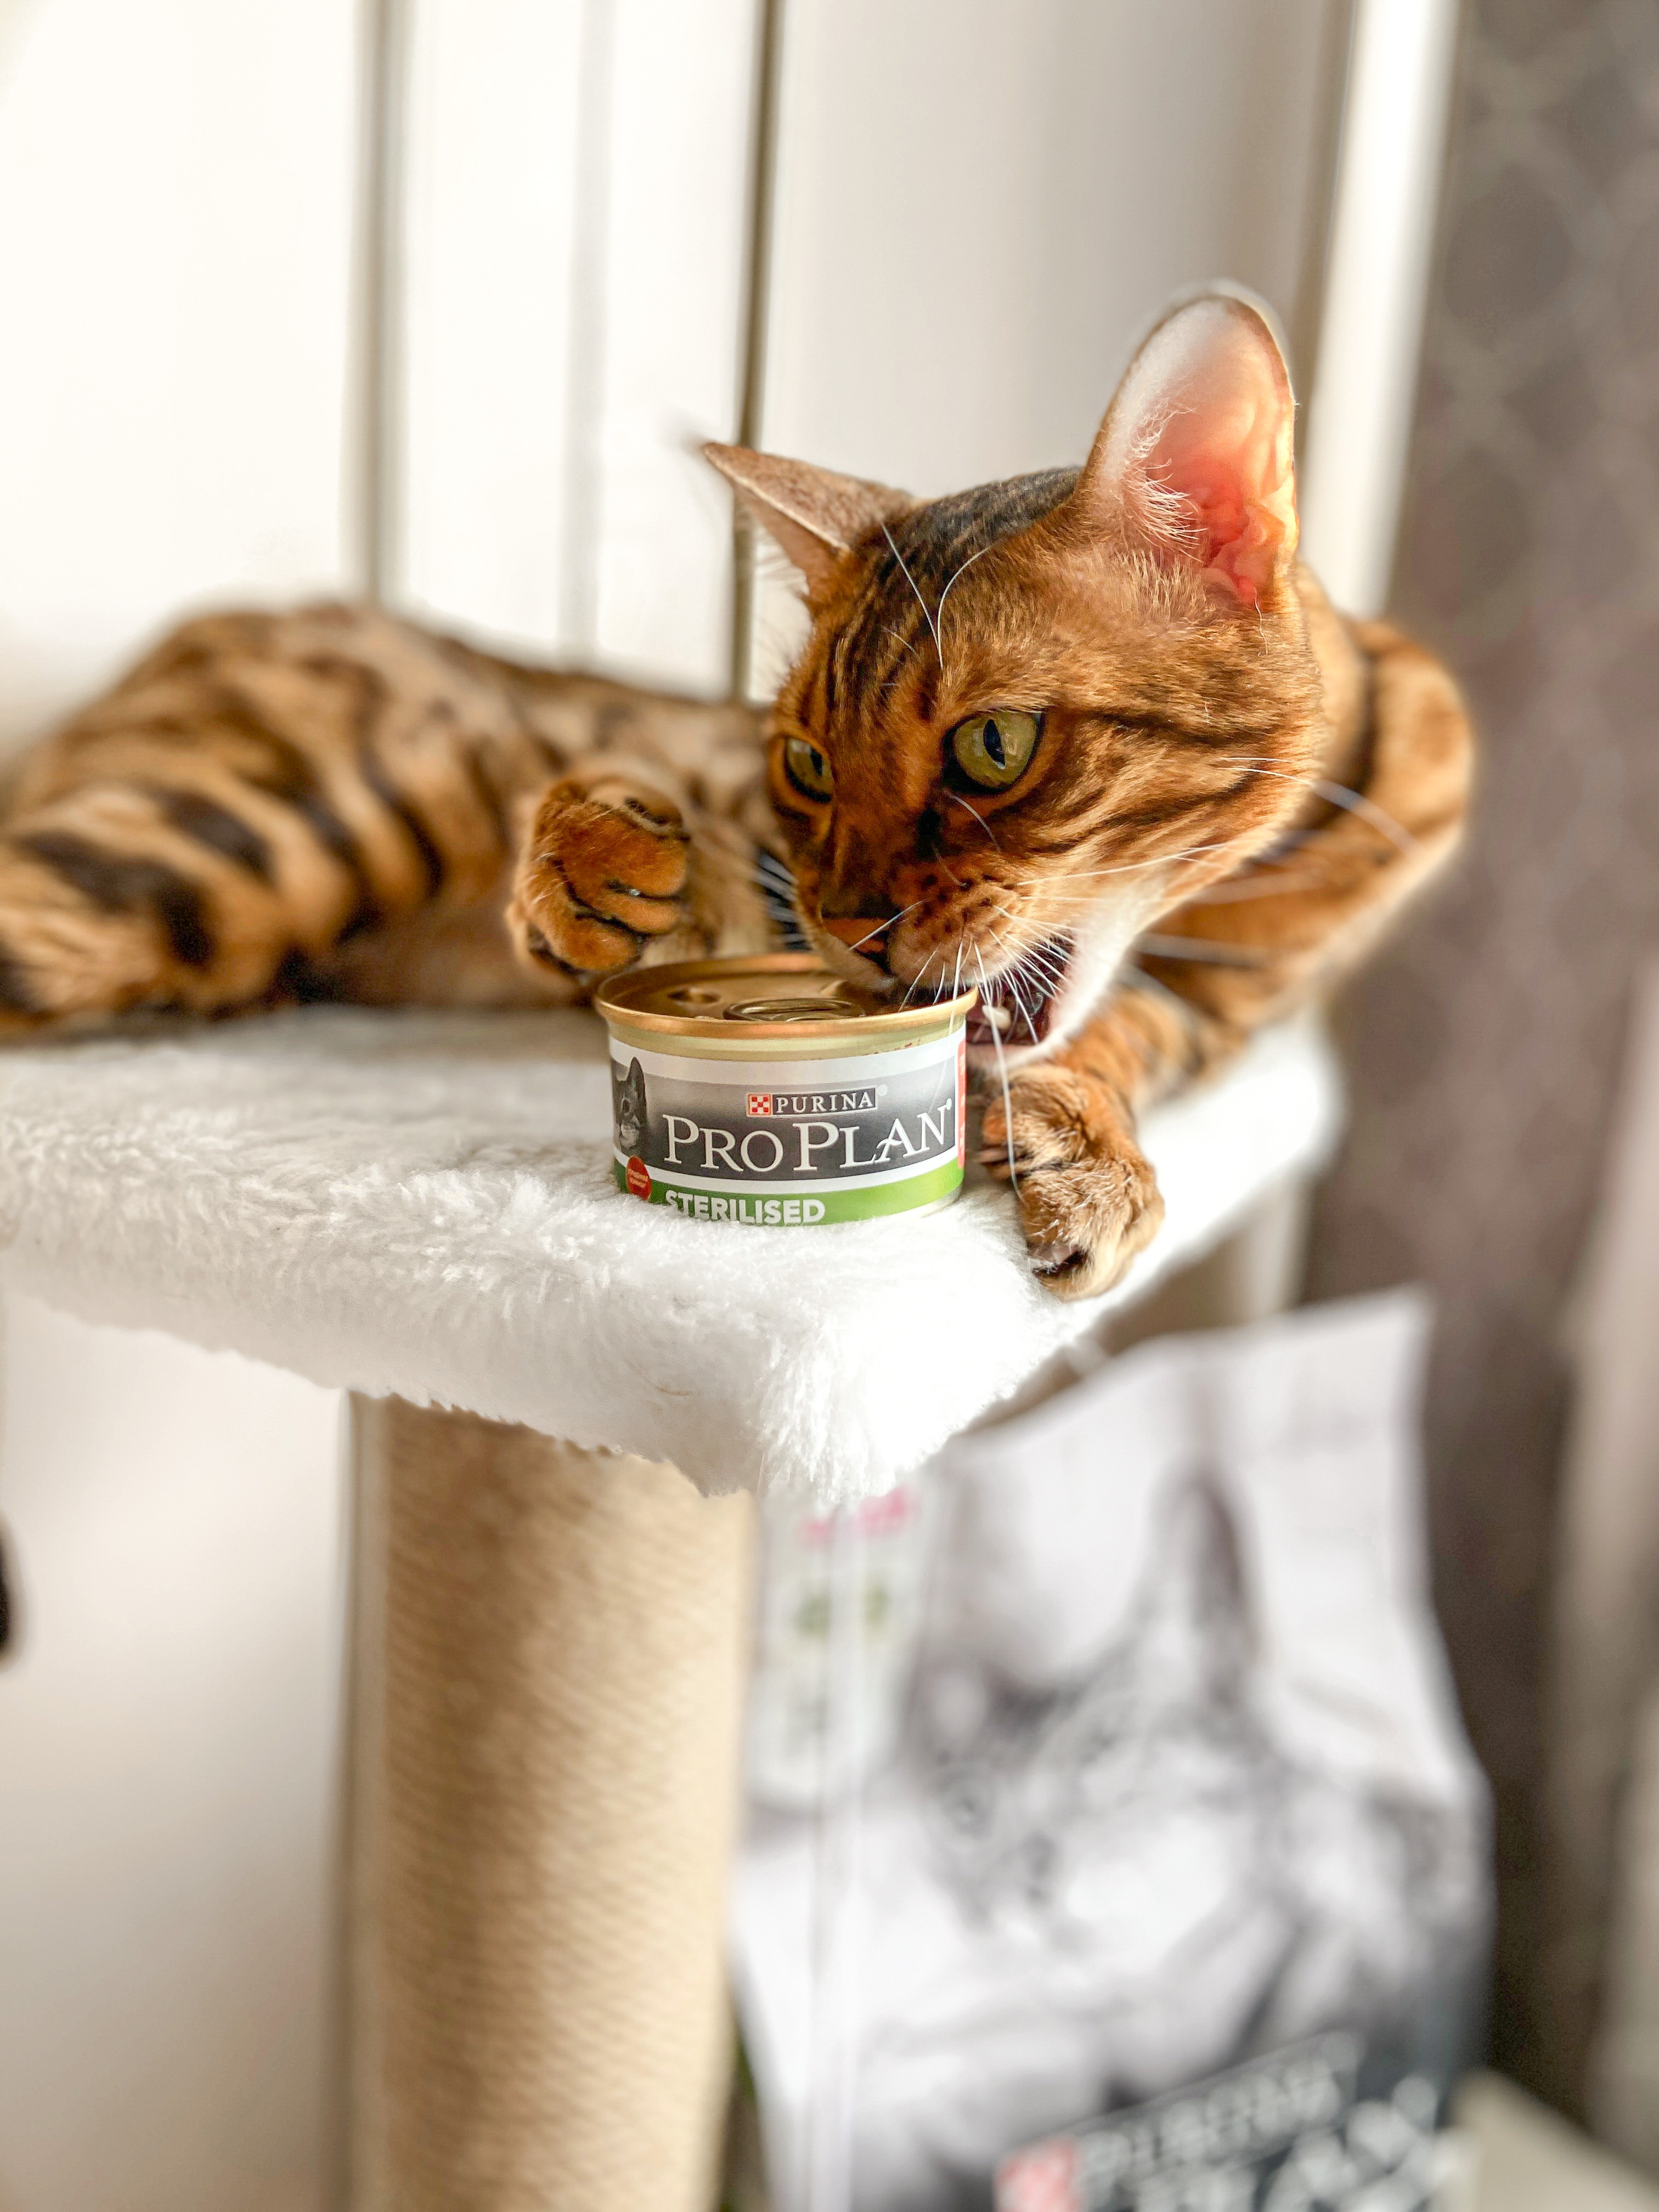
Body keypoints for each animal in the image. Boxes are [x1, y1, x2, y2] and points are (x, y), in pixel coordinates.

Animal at [0, 290, 1471, 1295]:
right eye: (809, 762)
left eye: (996, 747)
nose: (859, 934)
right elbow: (697, 890)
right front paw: (601, 864)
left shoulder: (1235, 1009)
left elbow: (1123, 1038)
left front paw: (1085, 1144)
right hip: (230, 852)